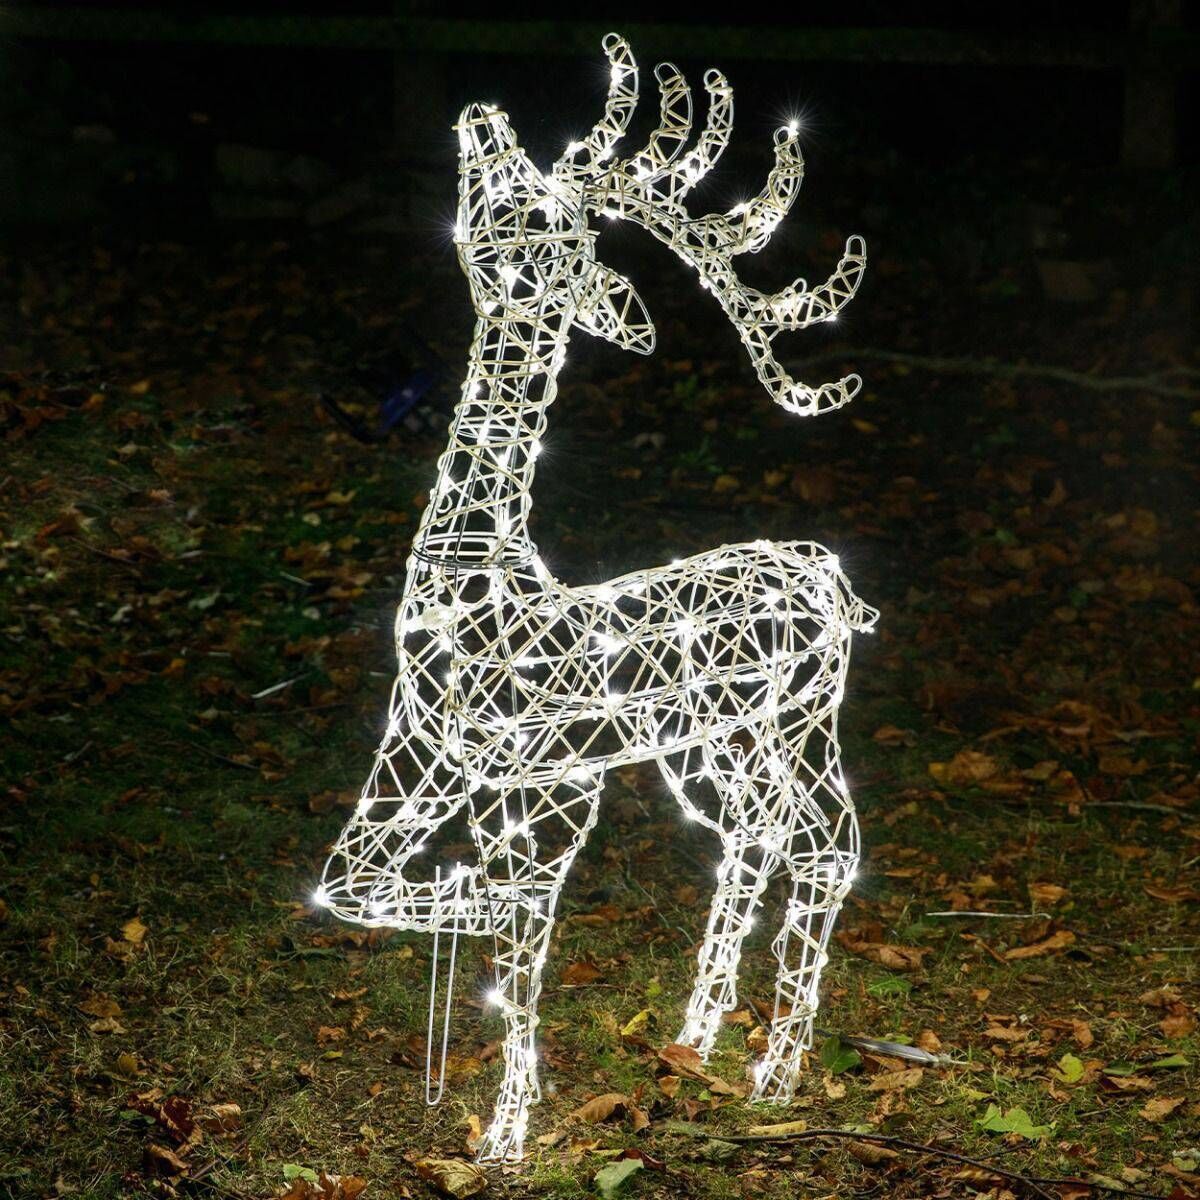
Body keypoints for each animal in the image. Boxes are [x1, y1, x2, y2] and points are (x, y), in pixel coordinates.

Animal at [314, 33, 877, 1163]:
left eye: (526, 207)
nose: (484, 116)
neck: (475, 571)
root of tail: (832, 577)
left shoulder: (534, 788)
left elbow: (518, 929)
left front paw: (503, 1136)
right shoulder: (427, 757)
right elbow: (357, 890)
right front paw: (509, 1100)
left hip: (799, 720)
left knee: (826, 849)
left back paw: (775, 1080)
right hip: (710, 746)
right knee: (758, 839)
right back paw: (695, 1042)